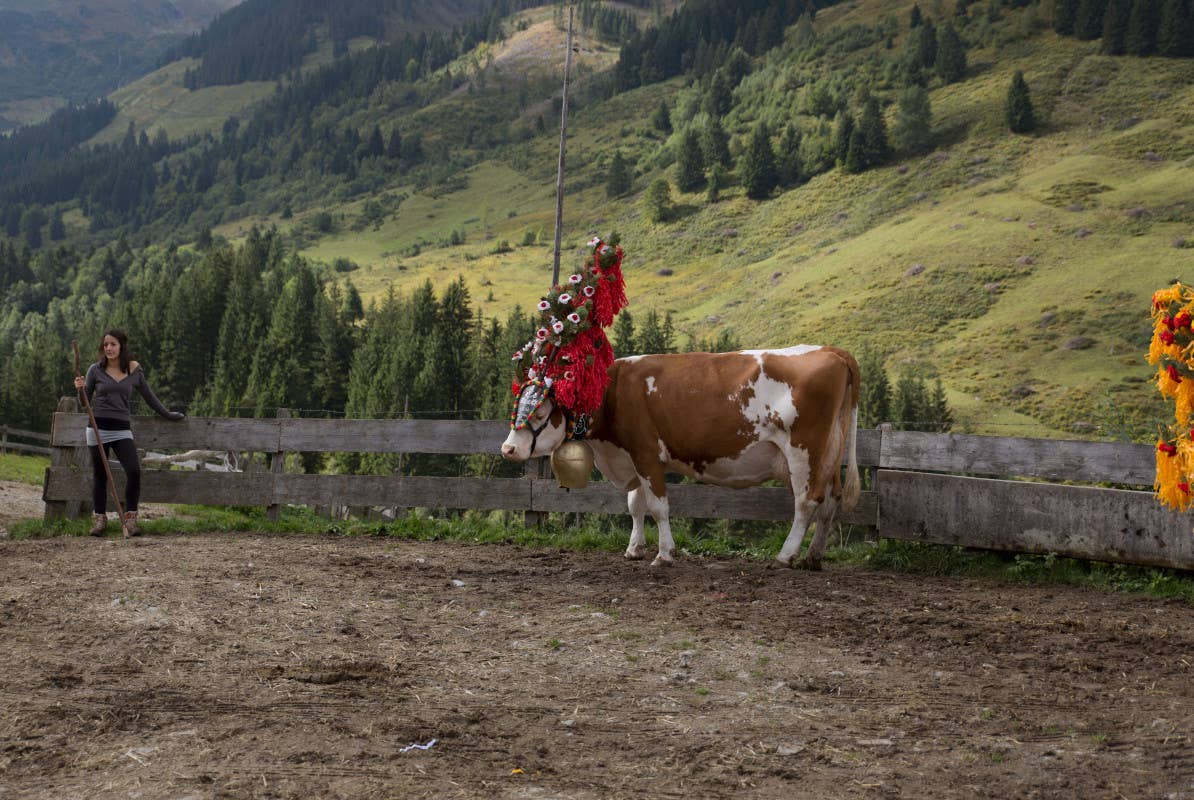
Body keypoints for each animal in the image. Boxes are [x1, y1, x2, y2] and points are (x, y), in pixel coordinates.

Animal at [499, 343, 864, 570]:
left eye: (540, 411)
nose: (508, 449)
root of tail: (830, 350)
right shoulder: (632, 456)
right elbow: (635, 505)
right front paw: (634, 548)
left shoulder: (646, 453)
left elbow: (658, 506)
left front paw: (664, 554)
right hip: (830, 455)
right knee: (830, 502)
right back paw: (813, 557)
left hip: (804, 452)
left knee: (807, 502)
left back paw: (786, 555)